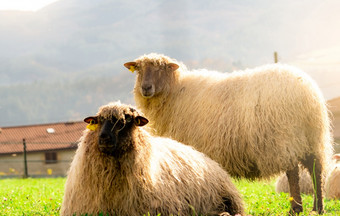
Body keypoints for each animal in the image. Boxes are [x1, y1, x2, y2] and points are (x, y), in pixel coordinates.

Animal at [124, 52, 332, 214]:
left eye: (161, 68)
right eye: (139, 69)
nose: (146, 88)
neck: (175, 92)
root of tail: (307, 92)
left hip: (285, 137)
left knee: (293, 173)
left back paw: (295, 208)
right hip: (311, 137)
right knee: (317, 170)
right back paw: (318, 208)